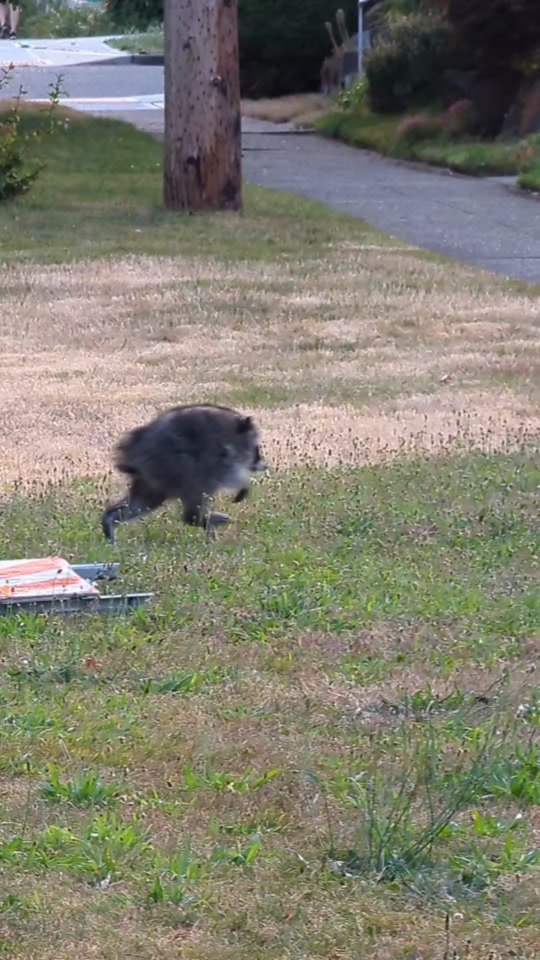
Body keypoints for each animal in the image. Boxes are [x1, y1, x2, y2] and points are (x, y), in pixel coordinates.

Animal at [101, 404, 267, 543]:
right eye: (257, 449)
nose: (264, 465)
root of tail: (134, 447)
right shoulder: (219, 452)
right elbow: (228, 474)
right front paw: (244, 482)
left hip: (153, 475)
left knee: (142, 502)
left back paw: (109, 521)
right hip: (172, 463)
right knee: (199, 484)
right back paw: (196, 518)